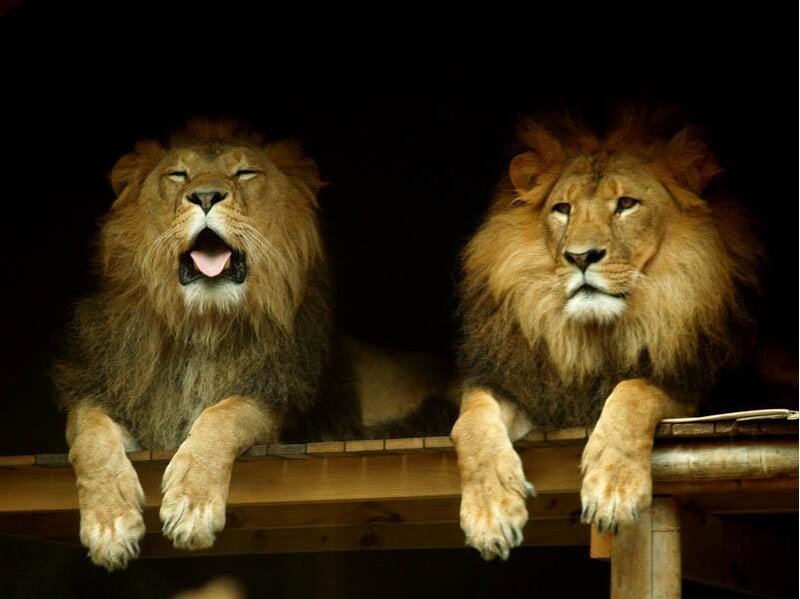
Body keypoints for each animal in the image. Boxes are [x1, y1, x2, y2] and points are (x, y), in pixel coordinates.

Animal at [450, 110, 761, 560]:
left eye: (626, 204)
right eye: (563, 209)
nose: (580, 257)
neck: (595, 336)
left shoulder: (691, 389)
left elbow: (633, 392)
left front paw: (612, 488)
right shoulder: (518, 382)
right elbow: (469, 422)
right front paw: (490, 512)